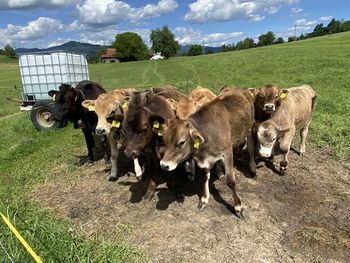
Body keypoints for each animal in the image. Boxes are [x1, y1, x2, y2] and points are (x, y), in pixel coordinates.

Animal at [159, 89, 254, 219]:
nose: (164, 165)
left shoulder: (227, 152)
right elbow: (205, 177)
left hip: (249, 129)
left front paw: (238, 207)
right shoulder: (205, 160)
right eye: (164, 139)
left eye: (181, 142)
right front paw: (204, 199)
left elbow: (230, 180)